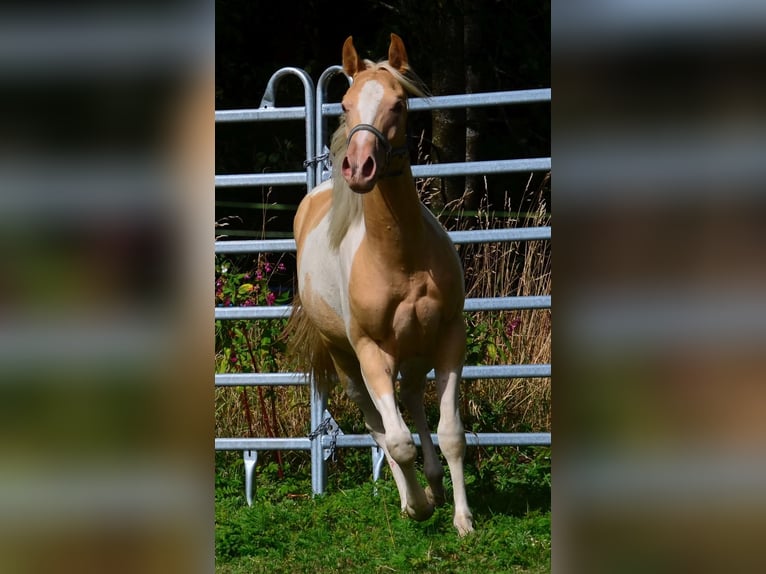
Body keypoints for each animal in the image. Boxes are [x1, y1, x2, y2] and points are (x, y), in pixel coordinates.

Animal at [285, 33, 473, 536]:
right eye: (346, 104)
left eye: (399, 103)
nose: (359, 166)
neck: (398, 257)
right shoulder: (371, 353)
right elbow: (397, 440)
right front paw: (418, 507)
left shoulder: (449, 338)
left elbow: (451, 434)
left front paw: (462, 520)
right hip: (347, 361)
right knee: (379, 426)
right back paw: (413, 497)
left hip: (415, 350)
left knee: (411, 401)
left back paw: (434, 485)